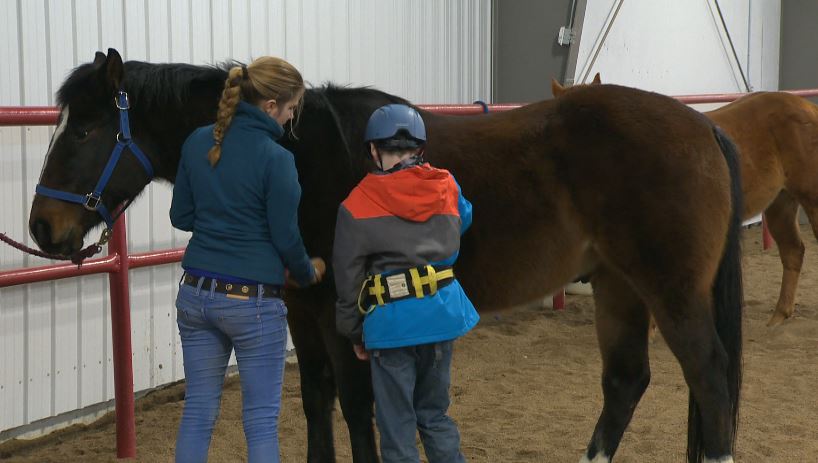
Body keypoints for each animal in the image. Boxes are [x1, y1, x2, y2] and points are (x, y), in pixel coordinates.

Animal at [28, 49, 743, 463]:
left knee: (710, 377)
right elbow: (316, 399)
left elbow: (353, 403)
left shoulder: (342, 312)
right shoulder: (302, 309)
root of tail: (703, 125)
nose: (42, 227)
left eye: (86, 129)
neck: (299, 152)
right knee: (627, 382)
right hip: (620, 287)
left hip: (670, 291)